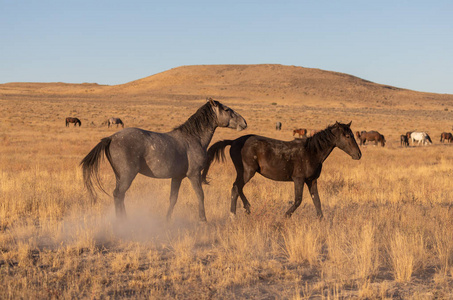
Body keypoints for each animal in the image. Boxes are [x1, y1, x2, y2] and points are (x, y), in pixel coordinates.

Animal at [80, 98, 247, 220]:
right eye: (227, 110)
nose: (244, 123)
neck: (193, 138)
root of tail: (111, 138)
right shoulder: (194, 175)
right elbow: (200, 195)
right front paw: (203, 219)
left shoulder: (177, 177)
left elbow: (173, 198)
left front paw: (167, 219)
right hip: (127, 175)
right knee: (118, 194)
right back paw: (122, 222)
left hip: (119, 176)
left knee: (120, 196)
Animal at [201, 121, 360, 218]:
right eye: (347, 136)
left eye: (353, 135)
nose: (359, 154)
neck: (312, 152)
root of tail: (234, 141)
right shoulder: (299, 179)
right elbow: (298, 200)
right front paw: (284, 217)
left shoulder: (312, 180)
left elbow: (317, 202)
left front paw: (322, 222)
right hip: (247, 172)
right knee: (235, 188)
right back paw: (234, 215)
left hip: (244, 173)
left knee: (238, 188)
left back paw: (247, 208)